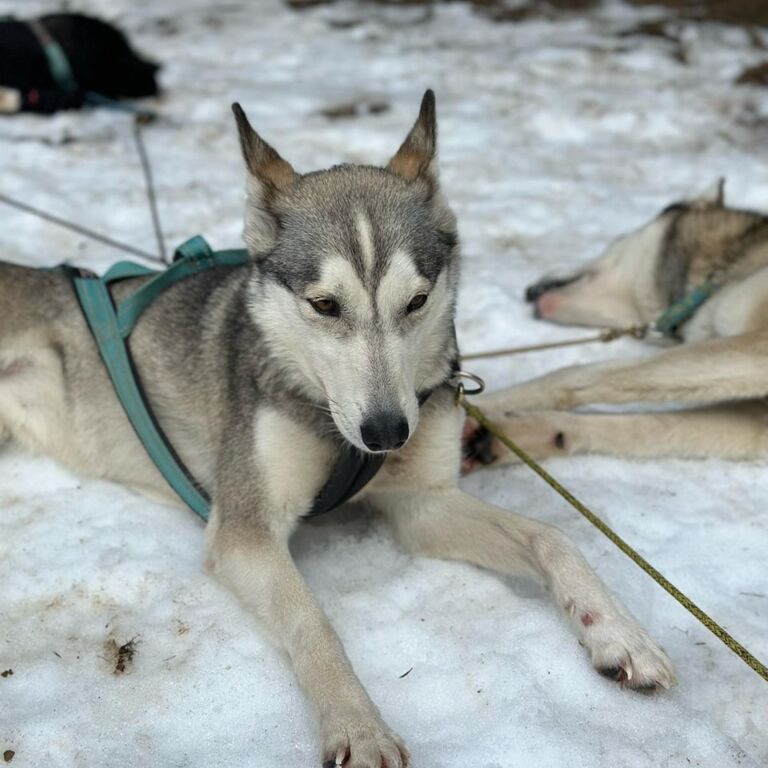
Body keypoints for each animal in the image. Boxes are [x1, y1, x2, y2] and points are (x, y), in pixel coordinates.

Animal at [0, 91, 672, 768]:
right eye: (324, 305)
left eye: (416, 302)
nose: (388, 432)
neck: (330, 421)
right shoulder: (246, 531)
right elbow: (311, 620)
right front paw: (358, 725)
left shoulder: (424, 505)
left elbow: (552, 537)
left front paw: (616, 631)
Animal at [472, 181, 768, 468]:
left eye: (615, 240)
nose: (529, 290)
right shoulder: (756, 423)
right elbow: (646, 426)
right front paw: (504, 434)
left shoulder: (757, 348)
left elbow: (572, 374)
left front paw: (481, 404)